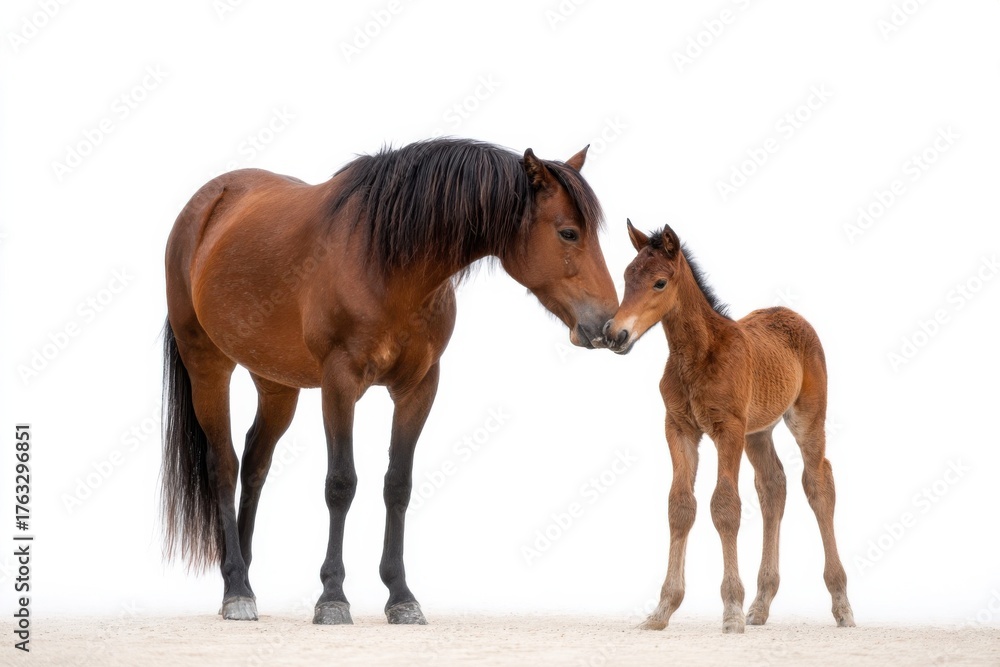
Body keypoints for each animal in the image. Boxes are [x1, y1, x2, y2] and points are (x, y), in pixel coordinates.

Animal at [161, 138, 619, 625]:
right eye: (568, 233)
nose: (609, 325)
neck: (386, 262)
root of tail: (208, 201)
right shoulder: (339, 383)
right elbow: (341, 484)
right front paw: (332, 597)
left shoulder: (419, 387)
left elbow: (398, 484)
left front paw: (400, 595)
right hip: (207, 365)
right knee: (223, 466)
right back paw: (235, 588)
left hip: (276, 382)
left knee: (255, 463)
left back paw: (244, 576)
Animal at [603, 221, 855, 634]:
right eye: (626, 278)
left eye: (659, 282)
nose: (614, 335)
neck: (696, 355)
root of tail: (792, 313)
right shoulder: (679, 428)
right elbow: (680, 506)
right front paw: (662, 611)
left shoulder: (728, 430)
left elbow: (725, 506)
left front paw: (732, 611)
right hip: (759, 431)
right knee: (773, 486)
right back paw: (761, 605)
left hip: (806, 418)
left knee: (819, 483)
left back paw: (842, 605)